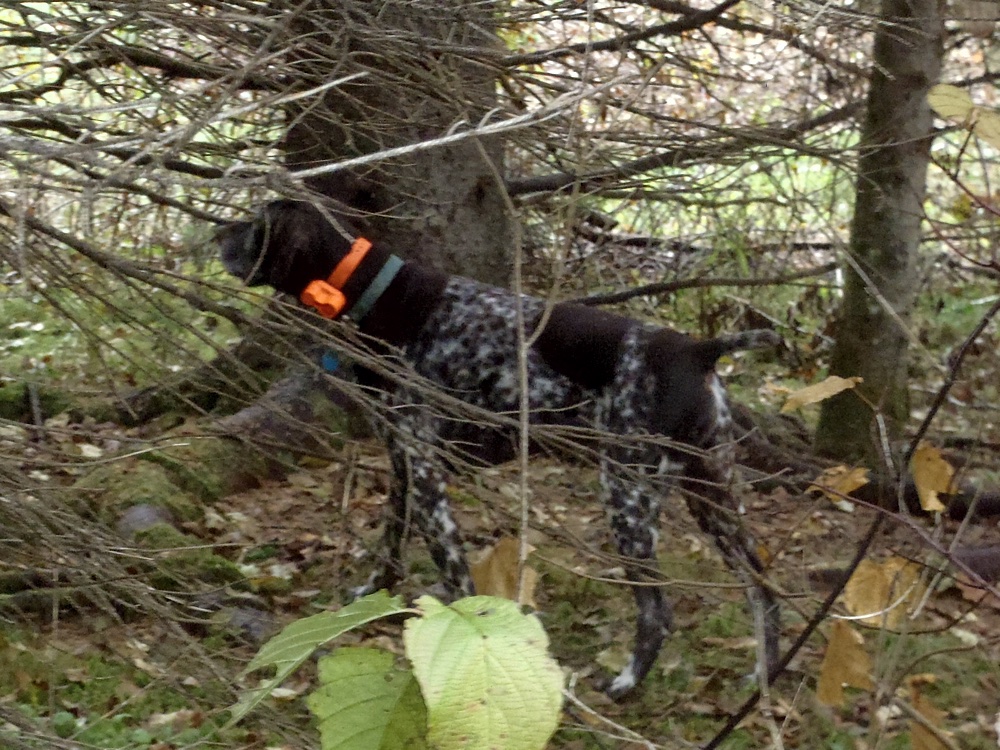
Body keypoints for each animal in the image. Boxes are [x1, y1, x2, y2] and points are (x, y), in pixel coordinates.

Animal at [217, 200, 780, 700]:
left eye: (255, 224)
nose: (216, 234)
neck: (379, 295)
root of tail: (699, 350)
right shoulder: (401, 460)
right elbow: (390, 541)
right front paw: (372, 592)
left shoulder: (425, 472)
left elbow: (454, 573)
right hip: (712, 498)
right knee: (764, 590)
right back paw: (763, 678)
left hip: (629, 499)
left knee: (657, 612)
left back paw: (626, 684)